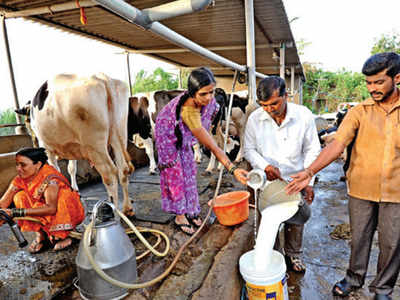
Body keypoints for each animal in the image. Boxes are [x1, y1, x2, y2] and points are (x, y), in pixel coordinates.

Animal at [21, 73, 134, 214]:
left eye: (27, 119)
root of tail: (101, 77)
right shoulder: (72, 146)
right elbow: (71, 168)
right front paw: (74, 189)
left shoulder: (47, 148)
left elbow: (55, 170)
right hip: (119, 134)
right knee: (123, 169)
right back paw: (127, 208)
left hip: (95, 145)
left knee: (109, 174)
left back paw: (115, 211)